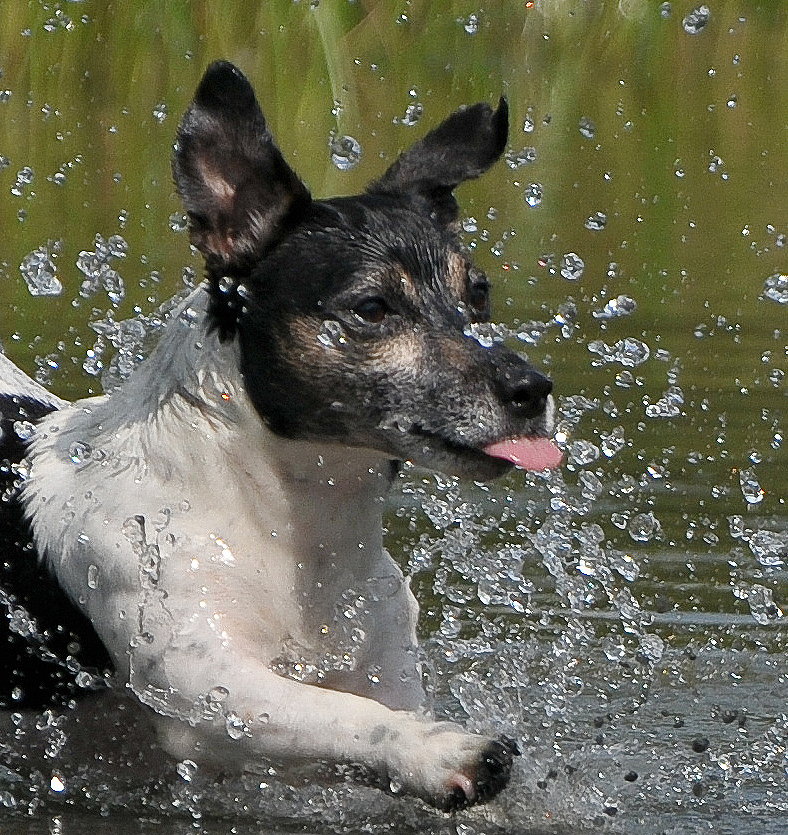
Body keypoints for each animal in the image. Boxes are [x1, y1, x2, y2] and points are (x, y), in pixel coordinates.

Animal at [3, 62, 564, 812]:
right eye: (372, 308)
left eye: (478, 294)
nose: (531, 390)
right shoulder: (207, 687)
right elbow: (345, 715)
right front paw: (435, 749)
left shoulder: (382, 659)